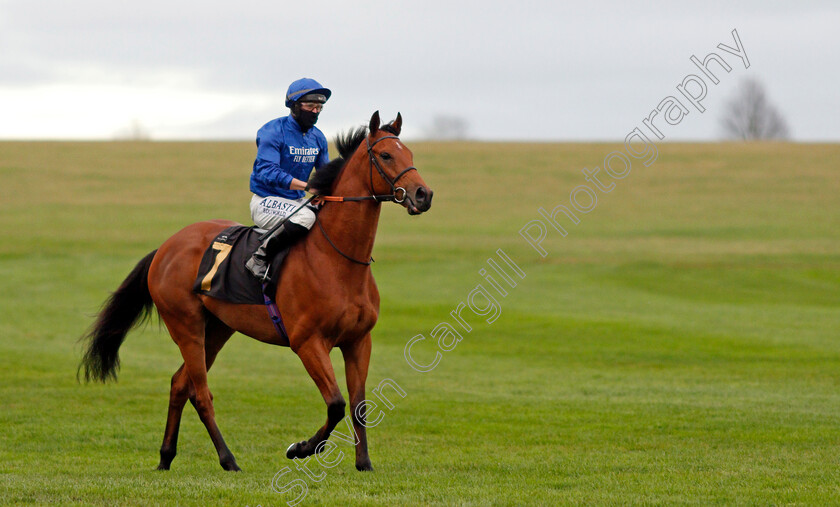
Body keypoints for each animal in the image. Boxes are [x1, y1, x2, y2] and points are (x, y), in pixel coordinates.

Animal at [80, 113, 434, 474]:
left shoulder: (359, 340)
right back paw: (228, 459)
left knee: (180, 383)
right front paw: (301, 448)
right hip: (186, 326)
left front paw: (364, 463)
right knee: (200, 393)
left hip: (217, 328)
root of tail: (166, 246)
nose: (423, 194)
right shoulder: (307, 342)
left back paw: (166, 457)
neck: (338, 259)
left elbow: (359, 404)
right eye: (386, 155)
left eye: (410, 153)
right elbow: (335, 403)